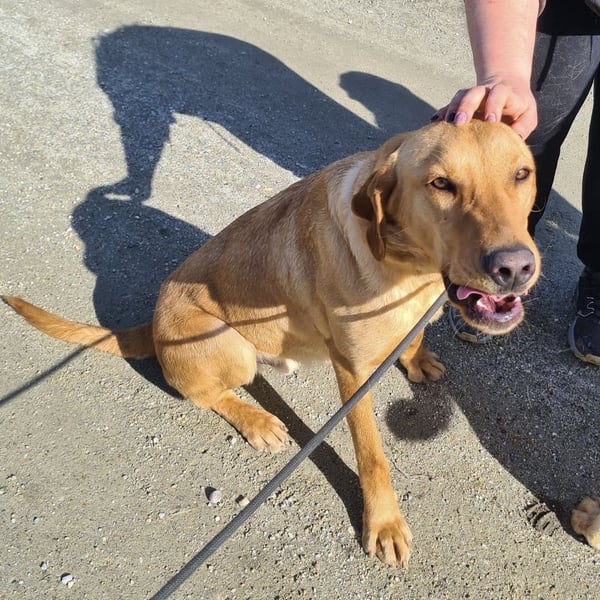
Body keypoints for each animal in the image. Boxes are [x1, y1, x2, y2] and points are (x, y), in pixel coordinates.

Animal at [4, 120, 540, 567]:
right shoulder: (353, 373)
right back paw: (257, 420)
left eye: (522, 174)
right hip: (231, 347)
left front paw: (417, 357)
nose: (514, 267)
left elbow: (414, 337)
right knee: (205, 393)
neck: (409, 266)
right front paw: (384, 522)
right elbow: (372, 456)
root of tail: (150, 324)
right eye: (440, 184)